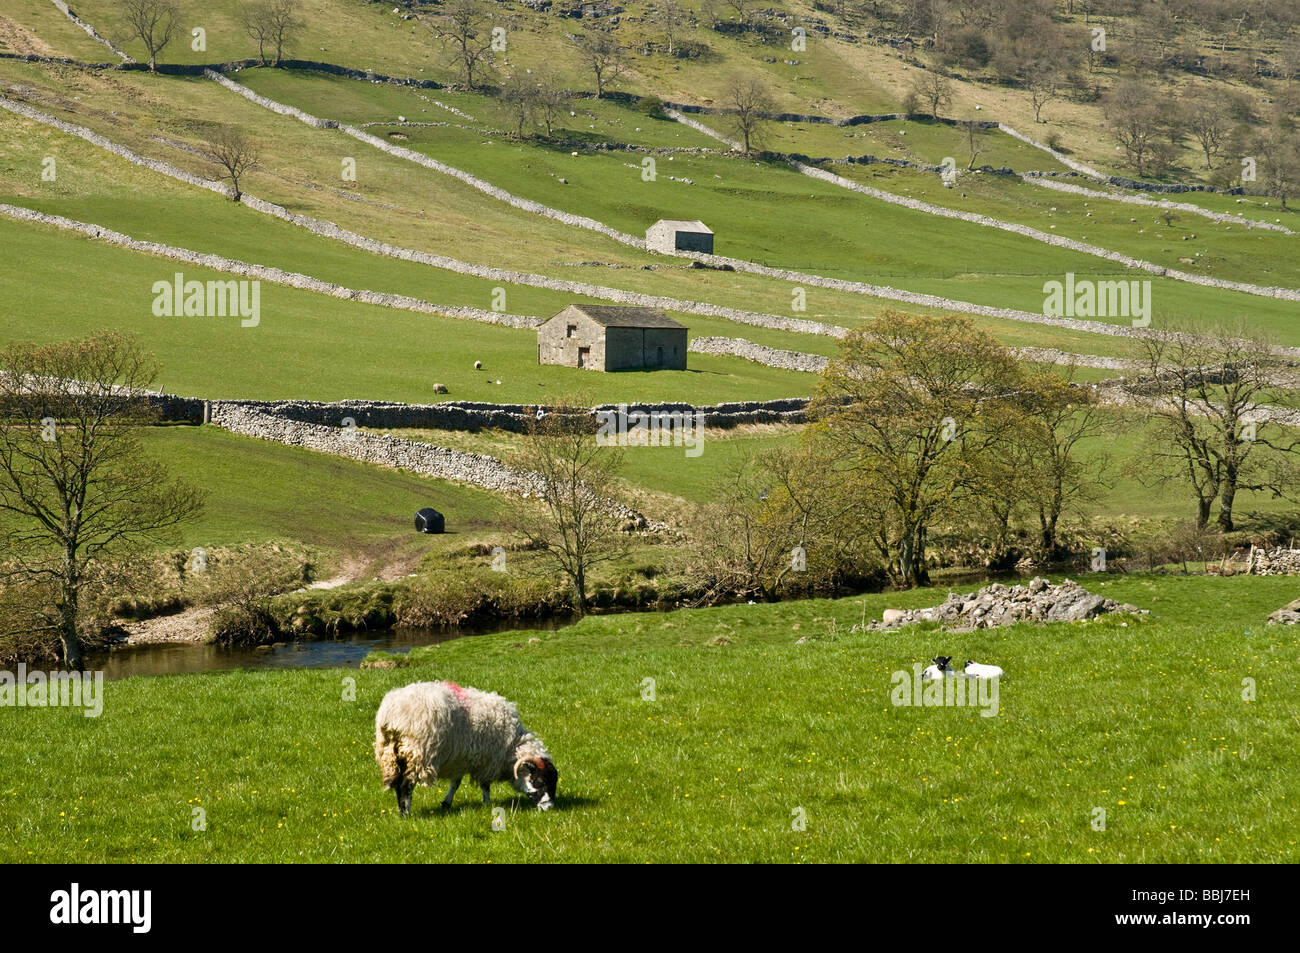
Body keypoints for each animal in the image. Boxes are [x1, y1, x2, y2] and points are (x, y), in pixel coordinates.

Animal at [374, 681, 557, 816]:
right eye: (540, 780)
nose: (549, 808)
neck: (511, 747)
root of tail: (393, 713)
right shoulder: (487, 761)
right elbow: (484, 785)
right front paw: (487, 803)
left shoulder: (460, 759)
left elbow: (455, 784)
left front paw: (446, 802)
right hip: (418, 753)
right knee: (406, 785)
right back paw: (406, 813)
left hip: (390, 754)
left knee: (398, 784)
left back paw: (402, 811)